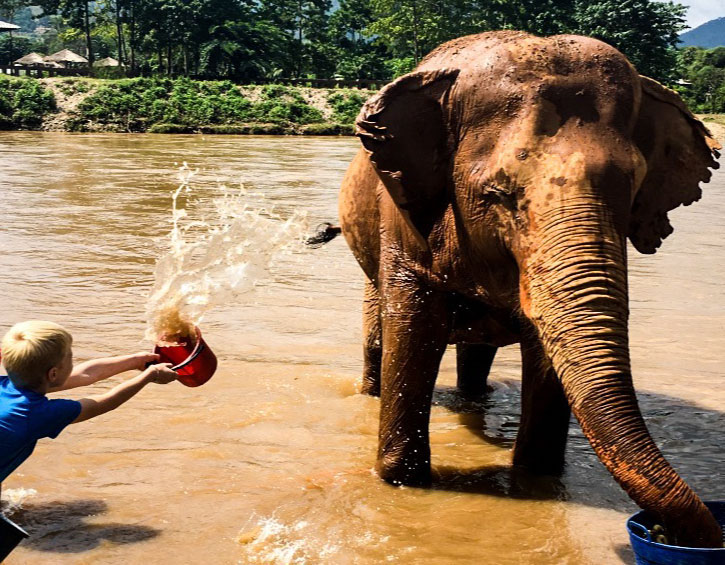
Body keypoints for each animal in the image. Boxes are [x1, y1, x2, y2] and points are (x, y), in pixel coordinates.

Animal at [336, 29, 720, 548]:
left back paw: (474, 400)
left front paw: (535, 480)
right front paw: (400, 481)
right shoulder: (403, 221)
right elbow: (414, 326)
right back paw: (373, 391)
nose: (665, 533)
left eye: (632, 190)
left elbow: (546, 355)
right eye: (498, 195)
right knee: (379, 334)